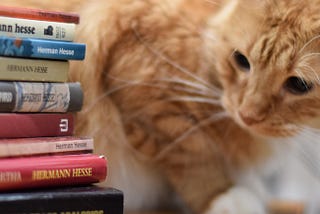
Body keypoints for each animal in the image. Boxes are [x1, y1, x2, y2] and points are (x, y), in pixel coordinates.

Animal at [1, 0, 320, 213]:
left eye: (299, 85)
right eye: (241, 60)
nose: (246, 115)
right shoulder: (148, 95)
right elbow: (195, 157)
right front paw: (224, 197)